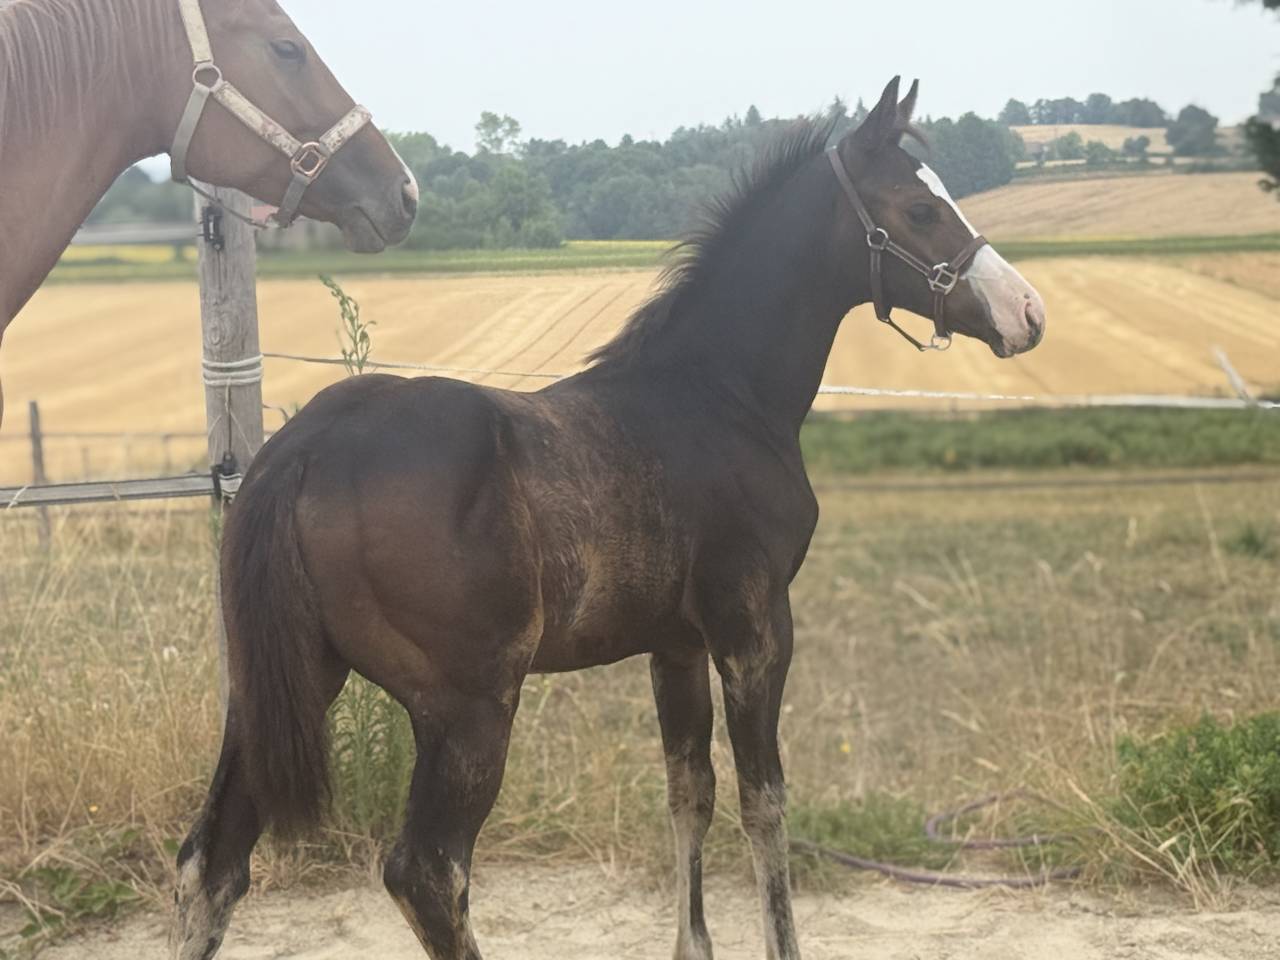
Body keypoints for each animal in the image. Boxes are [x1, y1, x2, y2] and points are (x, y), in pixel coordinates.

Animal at [173, 77, 1046, 960]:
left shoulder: (675, 644)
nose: (1028, 313)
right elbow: (763, 803)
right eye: (920, 209)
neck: (718, 395)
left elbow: (689, 791)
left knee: (212, 861)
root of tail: (304, 449)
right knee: (427, 872)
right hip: (467, 706)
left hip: (281, 686)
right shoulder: (755, 631)